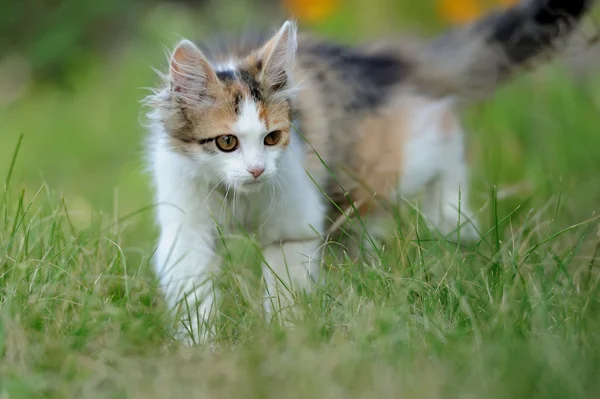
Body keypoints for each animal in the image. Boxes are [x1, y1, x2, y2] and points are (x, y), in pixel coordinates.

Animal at [144, 0, 596, 344]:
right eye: (226, 142)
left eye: (272, 138)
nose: (256, 170)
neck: (240, 196)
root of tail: (375, 61)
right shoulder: (186, 231)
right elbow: (194, 295)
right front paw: (202, 348)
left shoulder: (294, 223)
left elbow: (286, 289)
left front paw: (288, 338)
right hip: (348, 196)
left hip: (384, 168)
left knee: (444, 126)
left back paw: (452, 220)